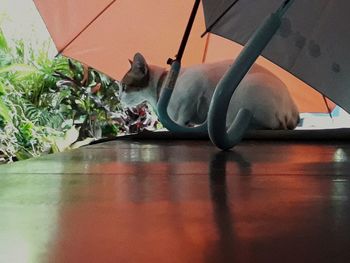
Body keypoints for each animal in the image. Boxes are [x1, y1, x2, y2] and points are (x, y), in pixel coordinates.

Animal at [119, 52, 300, 130]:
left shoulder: (195, 86)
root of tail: (293, 112)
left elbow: (182, 116)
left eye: (124, 87)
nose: (119, 96)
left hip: (244, 88)